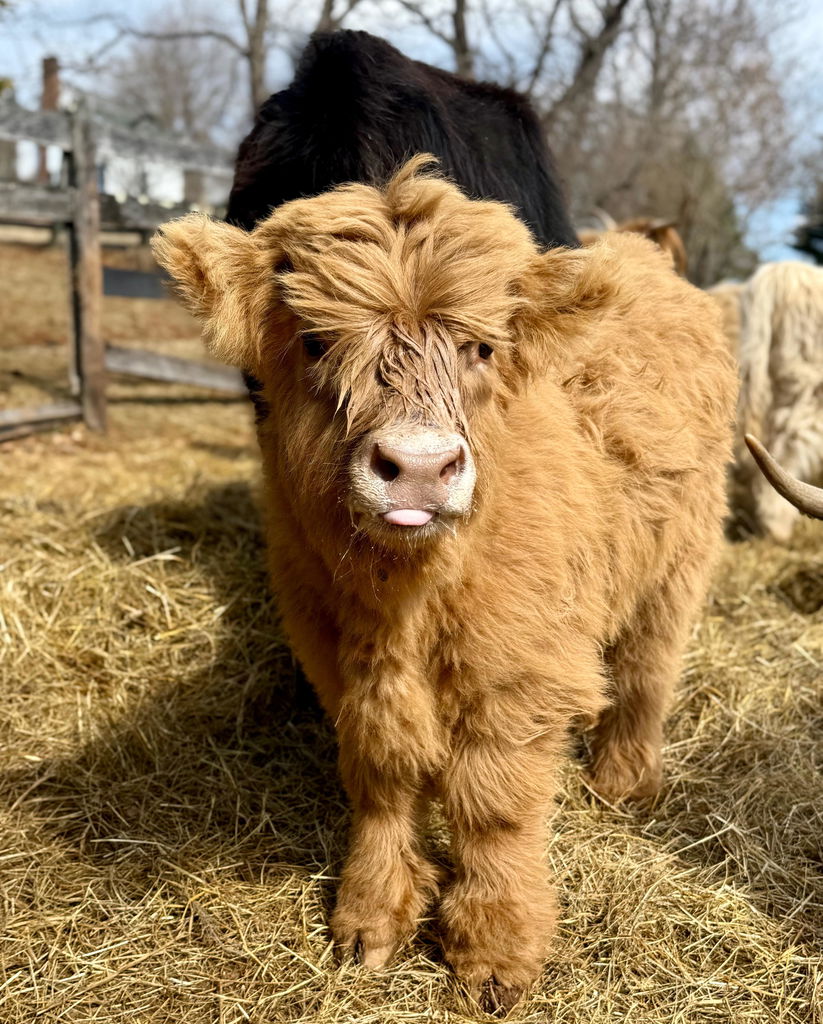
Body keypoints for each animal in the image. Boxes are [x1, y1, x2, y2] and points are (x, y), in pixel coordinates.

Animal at [153, 158, 736, 1013]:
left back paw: (623, 783)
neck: (406, 601)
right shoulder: (339, 661)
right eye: (316, 341)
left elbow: (493, 806)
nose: (420, 466)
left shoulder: (516, 677)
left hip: (679, 558)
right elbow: (381, 774)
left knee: (646, 669)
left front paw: (494, 952)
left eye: (481, 347)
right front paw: (371, 915)